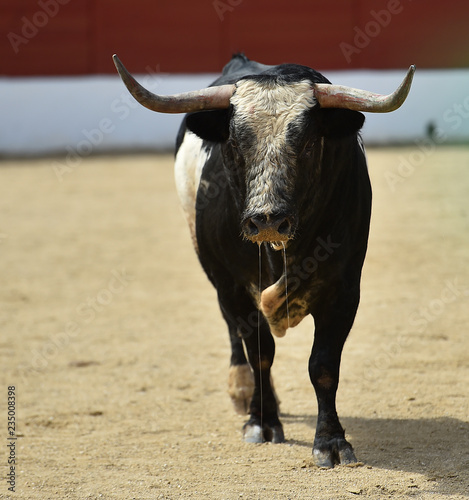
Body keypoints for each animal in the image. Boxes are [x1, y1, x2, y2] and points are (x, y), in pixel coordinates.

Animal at [113, 52, 414, 466]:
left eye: (308, 143)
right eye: (236, 145)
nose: (267, 219)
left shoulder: (344, 289)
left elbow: (323, 365)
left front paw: (331, 441)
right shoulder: (235, 285)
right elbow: (259, 352)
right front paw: (262, 421)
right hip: (213, 269)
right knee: (234, 333)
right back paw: (242, 391)